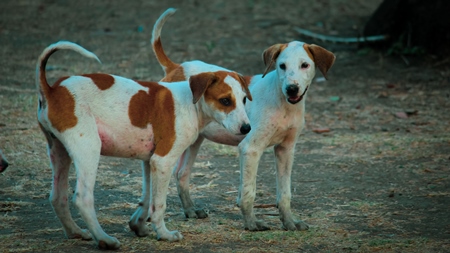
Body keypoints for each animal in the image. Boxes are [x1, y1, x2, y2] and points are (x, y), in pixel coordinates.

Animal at [36, 40, 251, 248]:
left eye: (243, 100)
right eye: (225, 101)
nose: (247, 128)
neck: (190, 102)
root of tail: (52, 90)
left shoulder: (150, 161)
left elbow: (147, 199)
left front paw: (139, 225)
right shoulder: (163, 161)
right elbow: (159, 204)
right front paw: (164, 234)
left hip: (59, 152)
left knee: (57, 197)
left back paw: (76, 232)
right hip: (88, 150)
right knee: (82, 198)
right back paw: (104, 239)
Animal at [153, 8, 336, 231]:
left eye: (305, 65)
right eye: (281, 66)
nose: (291, 89)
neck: (283, 104)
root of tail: (176, 67)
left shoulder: (286, 150)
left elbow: (285, 193)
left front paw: (289, 221)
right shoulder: (250, 149)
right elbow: (249, 193)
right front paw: (251, 223)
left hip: (194, 140)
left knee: (181, 174)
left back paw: (190, 210)